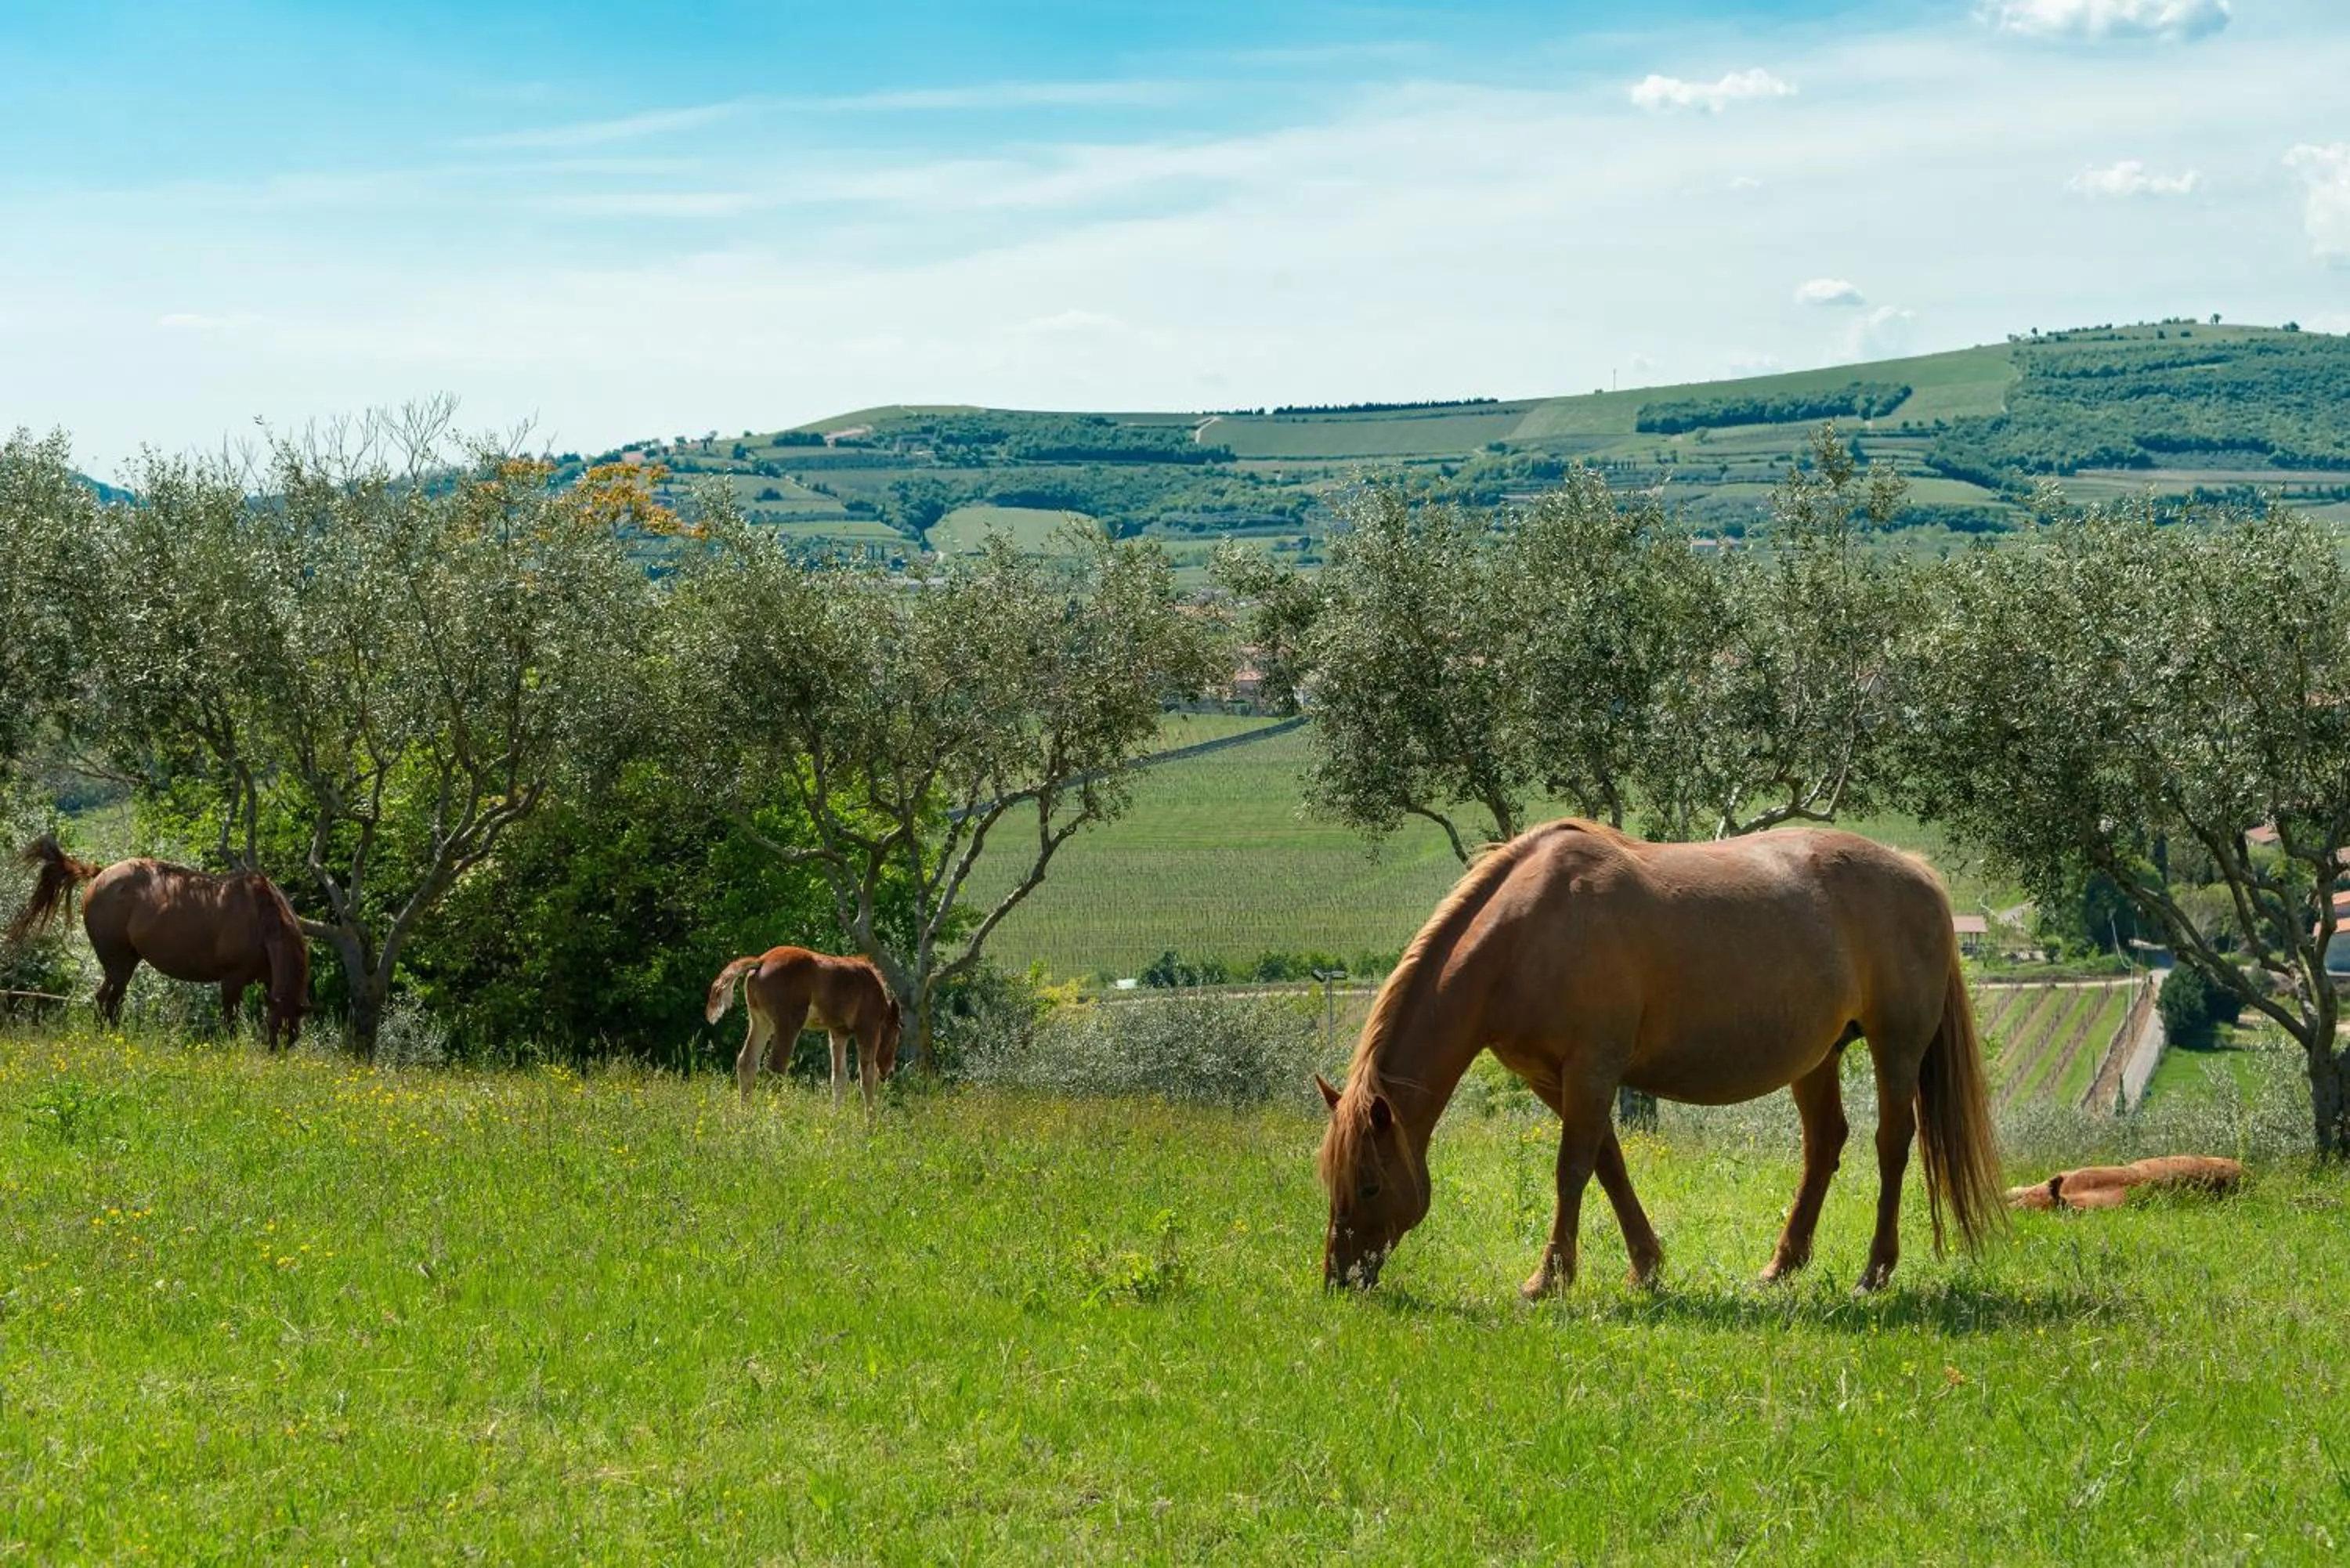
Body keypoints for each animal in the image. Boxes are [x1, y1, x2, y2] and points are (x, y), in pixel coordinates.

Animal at [8, 835, 313, 1051]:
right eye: (272, 1028)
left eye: (292, 1034)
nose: (273, 1057)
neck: (261, 919)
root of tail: (101, 874)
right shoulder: (232, 980)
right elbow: (230, 1021)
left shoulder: (269, 981)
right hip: (116, 963)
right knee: (106, 999)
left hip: (127, 963)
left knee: (111, 1001)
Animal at [706, 946, 902, 1111]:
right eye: (896, 1034)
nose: (889, 1071)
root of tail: (761, 961)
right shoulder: (867, 1028)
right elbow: (867, 1077)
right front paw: (870, 1124)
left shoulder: (838, 1032)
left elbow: (839, 1078)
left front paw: (836, 1117)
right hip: (788, 1024)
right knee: (776, 1068)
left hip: (761, 1021)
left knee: (747, 1062)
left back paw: (745, 1112)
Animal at [1315, 818, 2003, 1297]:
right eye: (1330, 1179)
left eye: (1370, 1183)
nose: (1339, 1279)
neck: (1526, 933)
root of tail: (1916, 873)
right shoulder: (1555, 1079)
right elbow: (1608, 1164)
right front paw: (1645, 1266)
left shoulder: (1591, 1068)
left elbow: (1571, 1169)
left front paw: (1550, 1279)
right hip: (1818, 1058)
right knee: (1825, 1143)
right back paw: (1781, 1266)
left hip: (1897, 1046)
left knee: (1892, 1145)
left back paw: (1874, 1273)